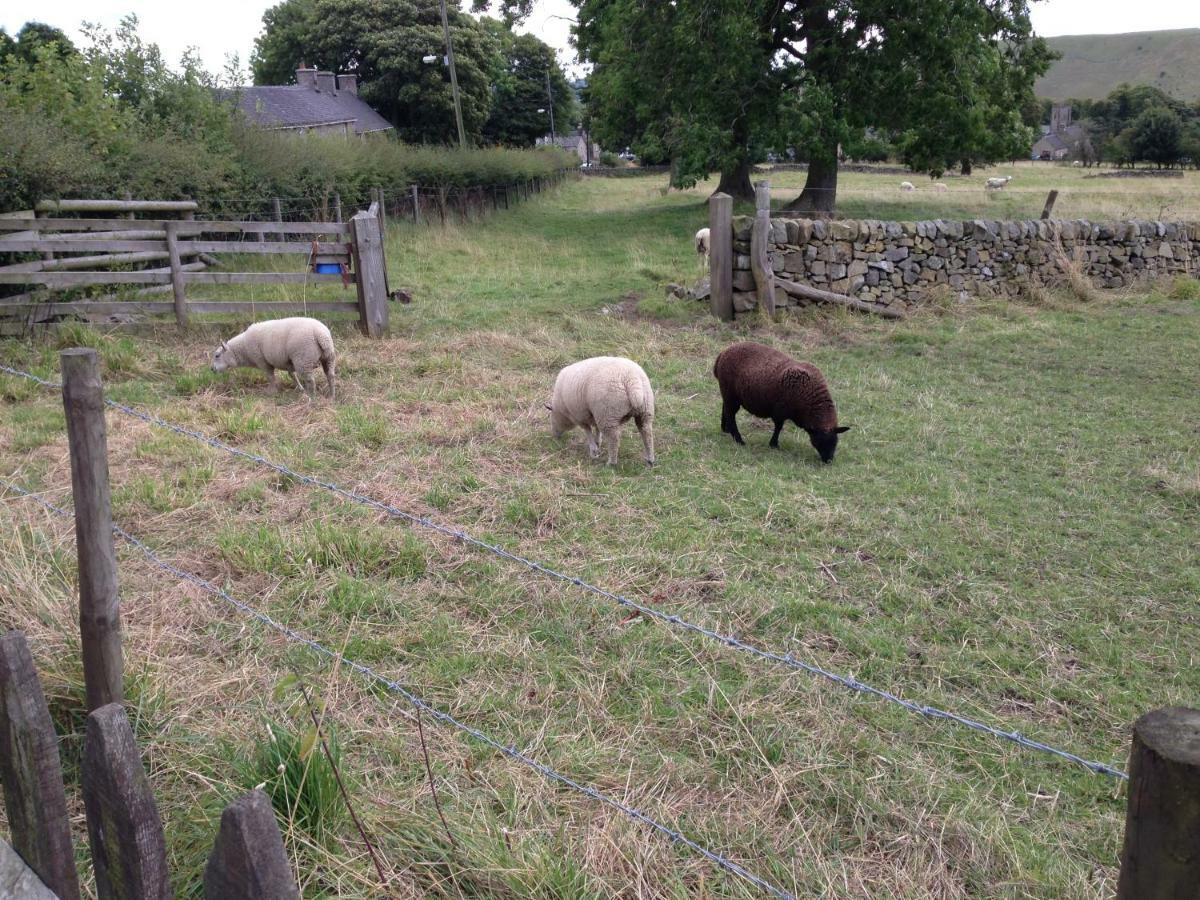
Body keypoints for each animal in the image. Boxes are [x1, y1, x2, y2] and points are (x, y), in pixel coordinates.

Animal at [715, 340, 849, 465]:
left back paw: (725, 429)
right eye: (819, 441)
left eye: (835, 441)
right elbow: (778, 427)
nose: (828, 461)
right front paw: (773, 444)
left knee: (725, 408)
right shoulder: (780, 411)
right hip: (730, 393)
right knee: (731, 414)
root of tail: (723, 353)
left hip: (729, 393)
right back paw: (738, 440)